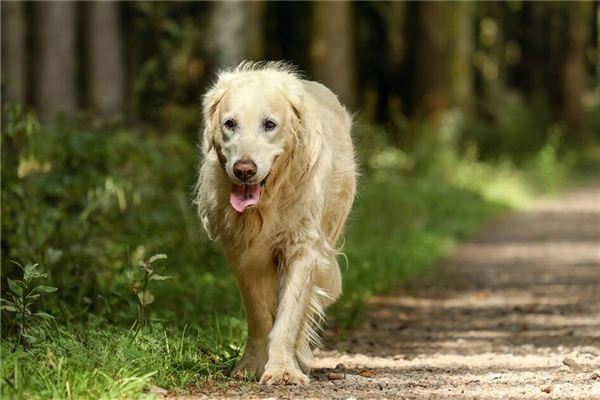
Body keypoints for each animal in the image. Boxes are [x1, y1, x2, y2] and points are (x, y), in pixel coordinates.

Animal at [197, 61, 356, 384]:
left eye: (269, 124)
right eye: (230, 124)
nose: (244, 170)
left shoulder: (303, 249)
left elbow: (289, 316)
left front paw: (283, 369)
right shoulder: (243, 254)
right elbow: (259, 315)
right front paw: (252, 365)